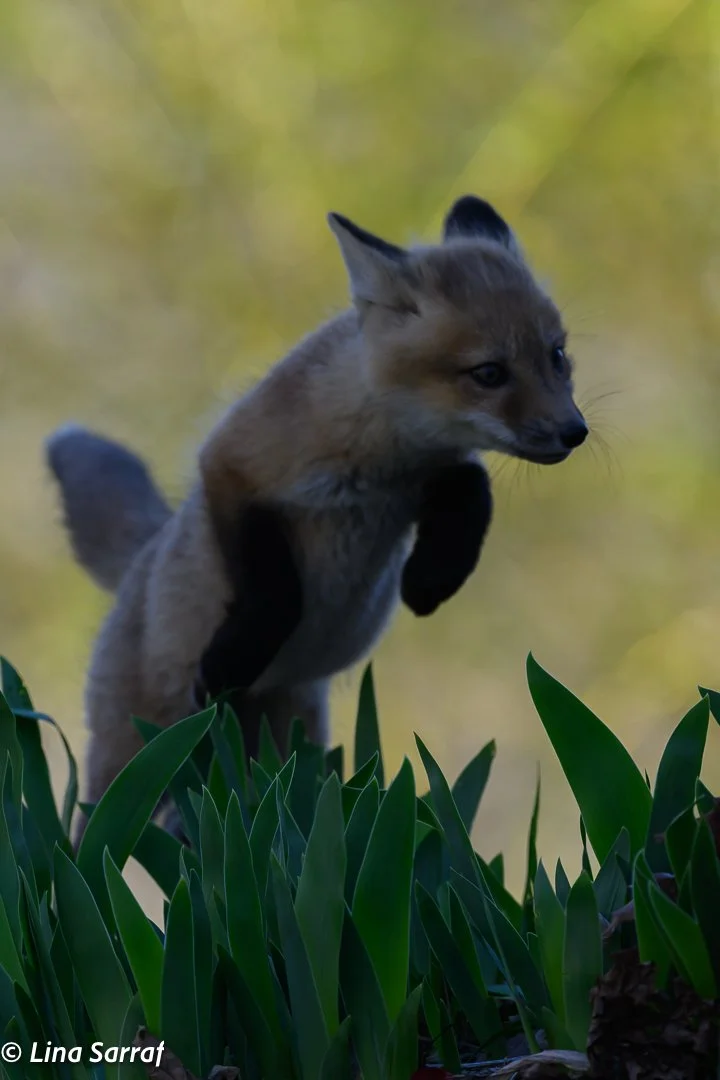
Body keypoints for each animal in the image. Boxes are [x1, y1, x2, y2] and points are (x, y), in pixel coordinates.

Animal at [46, 194, 588, 846]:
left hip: (283, 742)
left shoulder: (423, 479)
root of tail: (139, 561)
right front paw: (230, 658)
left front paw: (431, 578)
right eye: (488, 373)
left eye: (556, 356)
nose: (575, 431)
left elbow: (473, 488)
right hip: (133, 751)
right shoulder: (231, 466)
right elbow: (278, 593)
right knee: (86, 835)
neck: (378, 451)